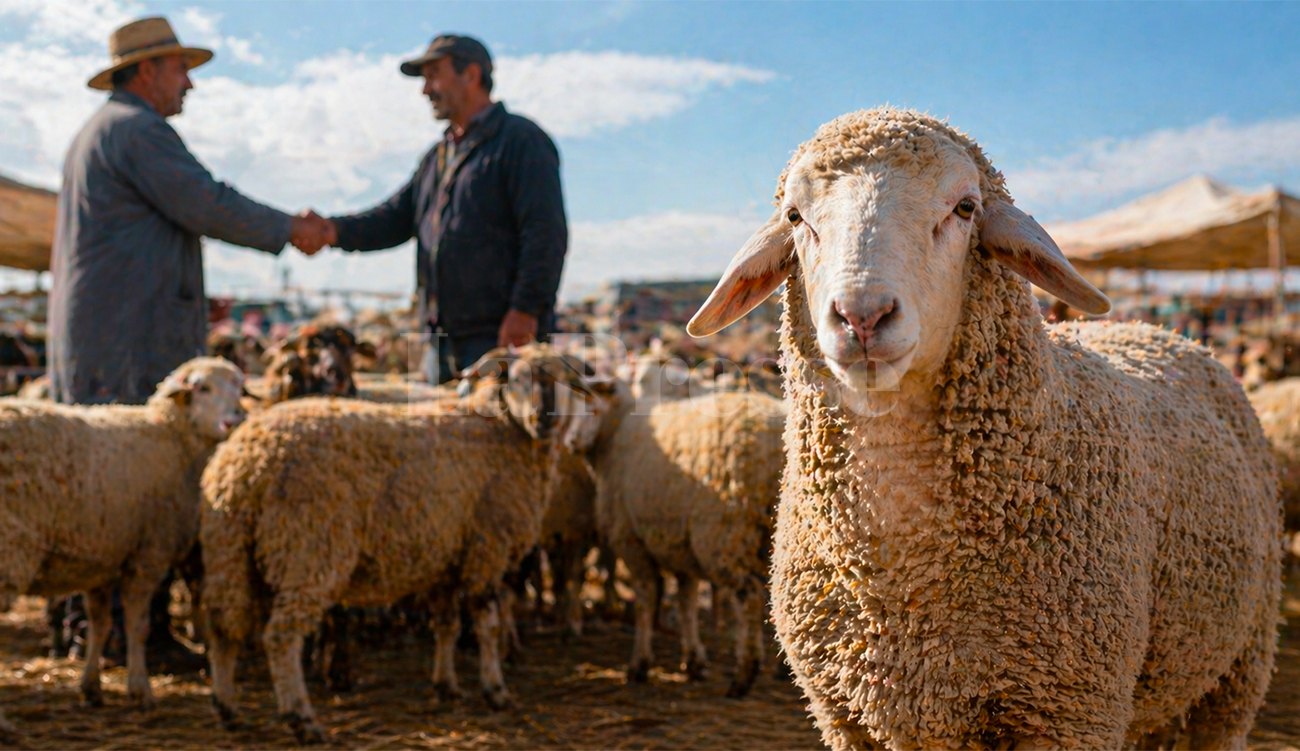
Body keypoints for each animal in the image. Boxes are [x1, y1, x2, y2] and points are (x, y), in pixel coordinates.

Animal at [0, 358, 246, 713]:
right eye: (203, 387)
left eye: (239, 386)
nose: (236, 417)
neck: (172, 436)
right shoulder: (149, 556)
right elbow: (137, 626)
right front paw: (140, 689)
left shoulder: (100, 559)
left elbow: (99, 626)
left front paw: (91, 687)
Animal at [199, 343, 600, 743]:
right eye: (516, 379)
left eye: (563, 381)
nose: (543, 419)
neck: (504, 433)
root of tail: (245, 466)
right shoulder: (486, 548)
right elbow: (487, 626)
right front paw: (496, 691)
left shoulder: (446, 556)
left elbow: (446, 625)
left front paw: (446, 685)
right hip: (309, 548)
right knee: (281, 637)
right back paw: (302, 718)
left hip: (229, 550)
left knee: (221, 628)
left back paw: (227, 707)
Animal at [585, 378, 786, 697]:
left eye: (589, 405)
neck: (616, 430)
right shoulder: (679, 547)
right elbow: (687, 602)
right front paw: (694, 661)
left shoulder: (631, 540)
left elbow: (646, 600)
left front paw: (639, 665)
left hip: (724, 533)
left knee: (750, 597)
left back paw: (743, 676)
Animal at [687, 107, 1281, 750]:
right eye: (796, 217)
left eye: (966, 207)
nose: (863, 316)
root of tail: (1159, 332)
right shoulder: (843, 715)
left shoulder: (1071, 712)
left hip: (1240, 664)